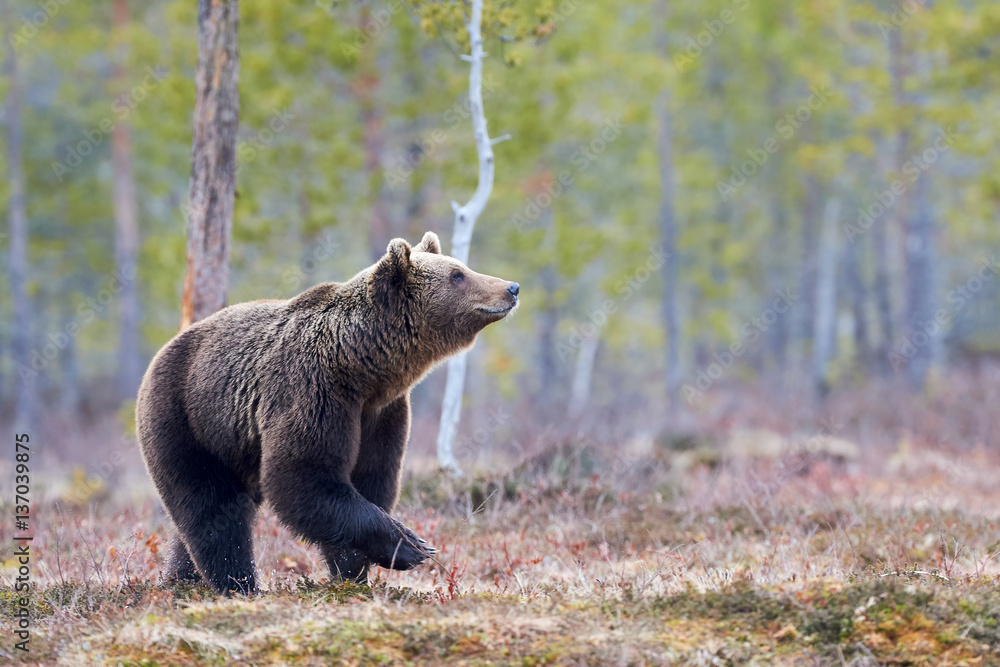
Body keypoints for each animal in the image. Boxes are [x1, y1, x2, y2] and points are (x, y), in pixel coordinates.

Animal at [135, 231, 519, 594]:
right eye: (458, 274)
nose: (511, 288)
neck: (361, 365)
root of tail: (160, 354)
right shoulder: (313, 390)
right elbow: (304, 475)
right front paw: (410, 545)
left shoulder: (381, 412)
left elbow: (371, 478)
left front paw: (354, 570)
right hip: (187, 420)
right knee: (211, 509)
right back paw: (238, 584)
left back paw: (181, 578)